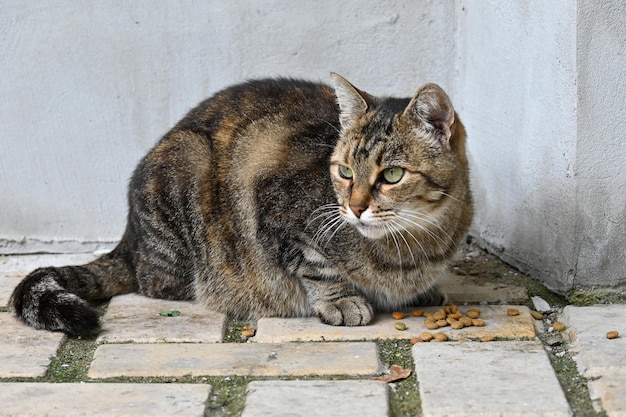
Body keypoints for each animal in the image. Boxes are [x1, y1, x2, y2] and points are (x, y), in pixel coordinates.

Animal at [9, 73, 470, 336]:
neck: (413, 245)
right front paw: (340, 300)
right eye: (343, 171)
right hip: (187, 163)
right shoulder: (276, 211)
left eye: (391, 175)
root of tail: (128, 238)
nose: (355, 208)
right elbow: (315, 266)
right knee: (155, 280)